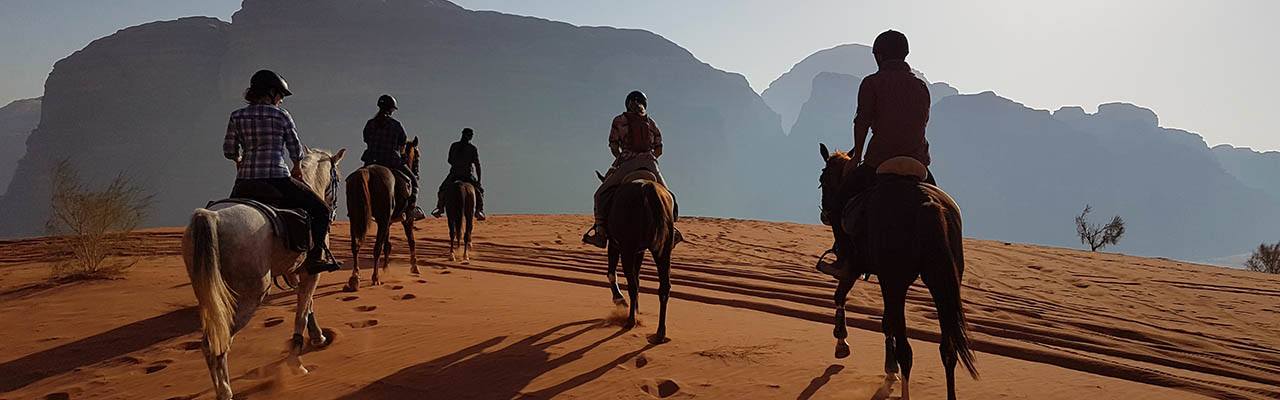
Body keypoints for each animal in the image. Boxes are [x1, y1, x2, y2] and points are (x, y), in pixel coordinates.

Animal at [183, 148, 345, 397]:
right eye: (337, 178)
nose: (334, 209)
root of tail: (212, 217)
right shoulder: (311, 272)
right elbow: (301, 313)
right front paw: (296, 362)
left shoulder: (294, 272)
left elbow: (307, 306)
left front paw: (317, 337)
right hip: (249, 297)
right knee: (217, 343)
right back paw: (225, 391)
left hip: (209, 295)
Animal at [343, 137, 422, 291]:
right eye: (417, 155)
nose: (416, 173)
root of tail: (367, 171)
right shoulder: (405, 220)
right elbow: (411, 241)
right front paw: (414, 267)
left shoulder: (387, 222)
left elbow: (388, 244)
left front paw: (386, 268)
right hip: (383, 220)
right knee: (376, 248)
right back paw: (376, 278)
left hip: (356, 219)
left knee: (355, 246)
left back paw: (355, 278)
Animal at [599, 169, 680, 343]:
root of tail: (648, 188)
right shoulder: (640, 251)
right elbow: (637, 276)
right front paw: (635, 308)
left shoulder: (616, 245)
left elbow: (612, 273)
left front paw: (620, 300)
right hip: (663, 251)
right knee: (664, 287)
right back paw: (660, 332)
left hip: (627, 249)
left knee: (632, 285)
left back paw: (630, 321)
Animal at [819, 143, 977, 400]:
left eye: (822, 179)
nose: (825, 214)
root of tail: (925, 201)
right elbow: (886, 322)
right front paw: (889, 368)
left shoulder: (856, 267)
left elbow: (840, 296)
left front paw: (841, 342)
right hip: (940, 283)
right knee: (948, 349)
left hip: (896, 282)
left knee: (907, 351)